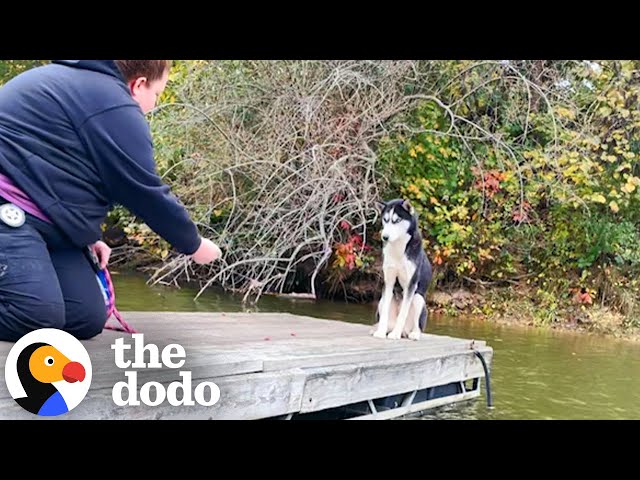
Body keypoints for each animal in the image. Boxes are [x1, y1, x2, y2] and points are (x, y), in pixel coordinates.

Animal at [372, 199, 432, 342]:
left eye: (397, 220)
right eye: (385, 219)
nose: (385, 237)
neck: (398, 248)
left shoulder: (411, 285)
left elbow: (403, 314)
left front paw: (395, 334)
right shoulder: (389, 281)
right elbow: (385, 313)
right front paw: (381, 332)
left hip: (418, 299)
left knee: (416, 327)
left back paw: (412, 334)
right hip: (381, 300)